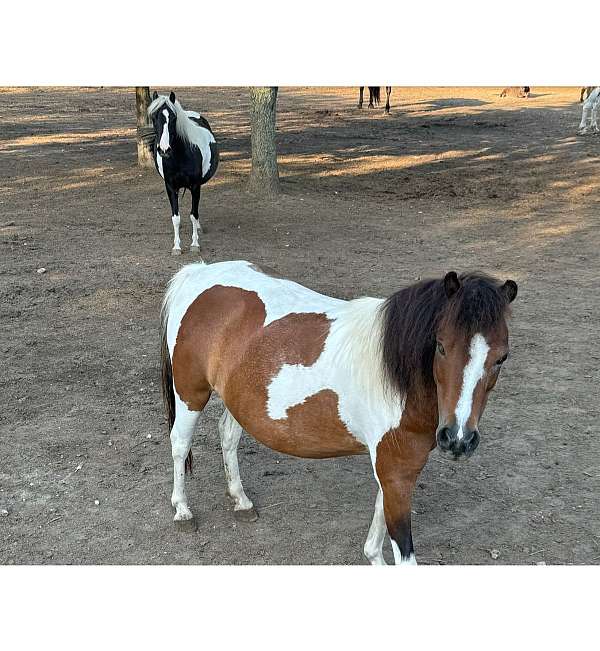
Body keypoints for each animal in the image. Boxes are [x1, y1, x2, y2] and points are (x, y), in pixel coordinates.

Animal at [149, 91, 219, 255]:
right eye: (154, 117)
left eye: (174, 118)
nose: (164, 150)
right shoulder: (170, 187)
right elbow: (176, 217)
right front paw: (176, 246)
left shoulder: (195, 186)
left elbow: (193, 214)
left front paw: (195, 244)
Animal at [159, 260, 516, 564]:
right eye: (441, 346)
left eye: (502, 357)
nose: (458, 439)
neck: (395, 374)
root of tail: (198, 273)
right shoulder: (396, 469)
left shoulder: (396, 469)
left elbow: (377, 532)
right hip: (191, 394)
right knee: (180, 444)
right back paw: (182, 510)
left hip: (237, 398)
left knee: (227, 436)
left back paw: (241, 500)